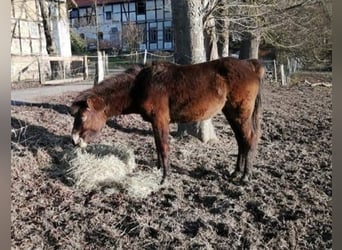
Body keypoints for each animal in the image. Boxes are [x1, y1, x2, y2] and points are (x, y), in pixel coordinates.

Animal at [70, 57, 264, 185]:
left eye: (83, 116)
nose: (74, 140)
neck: (142, 84)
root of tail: (250, 65)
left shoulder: (160, 120)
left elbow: (163, 147)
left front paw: (165, 177)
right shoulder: (154, 122)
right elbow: (157, 146)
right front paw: (158, 169)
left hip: (240, 113)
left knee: (250, 138)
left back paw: (245, 175)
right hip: (231, 113)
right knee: (241, 141)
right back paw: (236, 172)